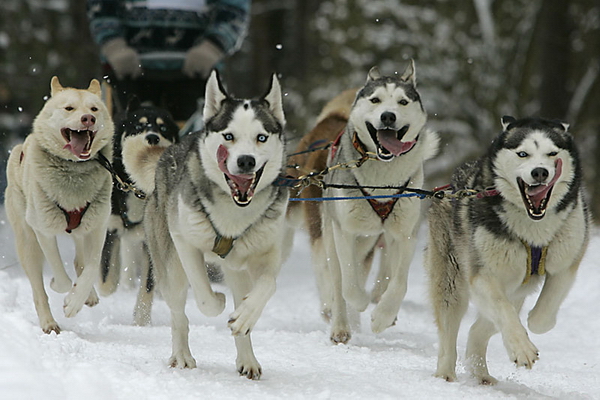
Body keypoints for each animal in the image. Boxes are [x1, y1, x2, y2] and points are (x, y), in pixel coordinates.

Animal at [4, 76, 113, 332]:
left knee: (79, 260)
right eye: (69, 108)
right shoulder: (43, 229)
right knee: (38, 289)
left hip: (82, 229)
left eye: (94, 109)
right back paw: (49, 322)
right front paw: (61, 288)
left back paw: (88, 295)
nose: (88, 118)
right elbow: (60, 278)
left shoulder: (98, 226)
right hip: (27, 242)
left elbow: (91, 266)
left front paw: (76, 300)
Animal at [99, 96, 179, 324]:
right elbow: (107, 279)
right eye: (139, 126)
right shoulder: (110, 230)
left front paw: (141, 321)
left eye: (163, 128)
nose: (152, 137)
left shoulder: (150, 240)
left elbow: (147, 287)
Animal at [131, 70, 288, 380]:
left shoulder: (267, 254)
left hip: (236, 270)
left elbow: (268, 285)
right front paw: (217, 301)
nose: (246, 161)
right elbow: (205, 298)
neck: (233, 214)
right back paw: (182, 355)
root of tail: (169, 150)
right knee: (178, 312)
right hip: (169, 264)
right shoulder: (184, 242)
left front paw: (246, 316)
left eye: (261, 137)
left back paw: (247, 358)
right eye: (228, 136)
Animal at [302, 60, 438, 344]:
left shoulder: (404, 234)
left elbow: (399, 282)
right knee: (338, 282)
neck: (383, 180)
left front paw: (384, 316)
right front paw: (360, 302)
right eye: (375, 99)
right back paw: (341, 326)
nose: (388, 116)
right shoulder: (344, 232)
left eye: (403, 101)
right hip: (330, 237)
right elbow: (348, 284)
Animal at [426, 116, 592, 384]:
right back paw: (445, 374)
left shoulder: (566, 265)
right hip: (452, 280)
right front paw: (521, 348)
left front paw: (533, 323)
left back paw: (479, 372)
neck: (533, 228)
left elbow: (541, 318)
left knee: (480, 327)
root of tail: (448, 187)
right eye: (523, 153)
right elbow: (502, 310)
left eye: (552, 153)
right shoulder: (482, 274)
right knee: (450, 328)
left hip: (517, 288)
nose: (540, 172)